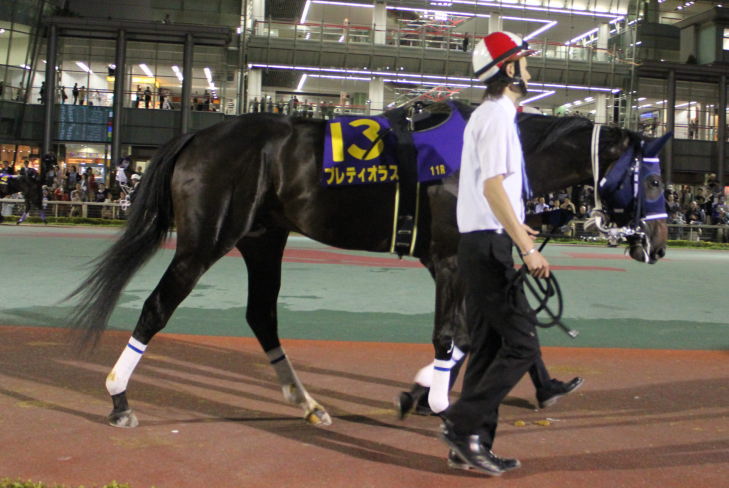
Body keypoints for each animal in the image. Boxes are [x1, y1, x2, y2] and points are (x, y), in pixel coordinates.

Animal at [68, 101, 668, 428]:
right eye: (656, 181)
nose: (658, 245)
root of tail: (200, 132)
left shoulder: (468, 261)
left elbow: (490, 328)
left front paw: (439, 392)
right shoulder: (450, 260)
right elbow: (452, 337)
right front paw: (431, 397)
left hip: (263, 239)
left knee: (262, 316)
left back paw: (308, 403)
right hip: (206, 241)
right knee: (157, 306)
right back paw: (118, 397)